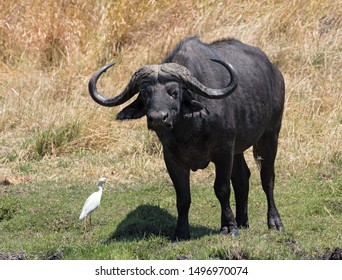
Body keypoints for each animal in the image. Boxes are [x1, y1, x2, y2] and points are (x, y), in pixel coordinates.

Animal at [89, 36, 286, 240]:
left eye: (174, 92)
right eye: (145, 93)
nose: (158, 118)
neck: (190, 129)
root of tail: (275, 72)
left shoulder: (223, 151)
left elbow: (222, 189)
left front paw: (229, 227)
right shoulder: (172, 159)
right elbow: (183, 197)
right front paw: (182, 231)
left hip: (270, 134)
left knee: (267, 178)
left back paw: (274, 222)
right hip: (238, 149)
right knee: (242, 178)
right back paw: (242, 221)